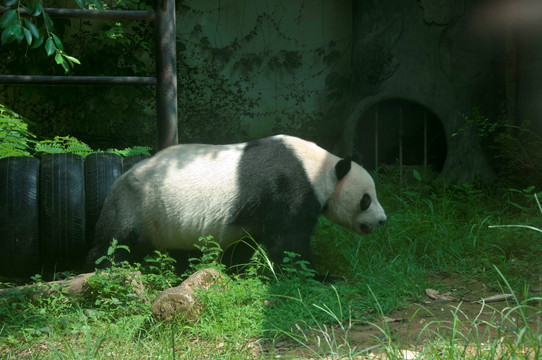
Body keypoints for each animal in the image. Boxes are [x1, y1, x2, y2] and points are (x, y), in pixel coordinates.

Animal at [85, 134, 388, 270]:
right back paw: (101, 268)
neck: (320, 167)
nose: (382, 221)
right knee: (114, 242)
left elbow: (246, 242)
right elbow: (288, 243)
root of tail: (120, 178)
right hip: (134, 205)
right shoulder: (289, 186)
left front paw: (236, 268)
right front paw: (320, 275)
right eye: (366, 200)